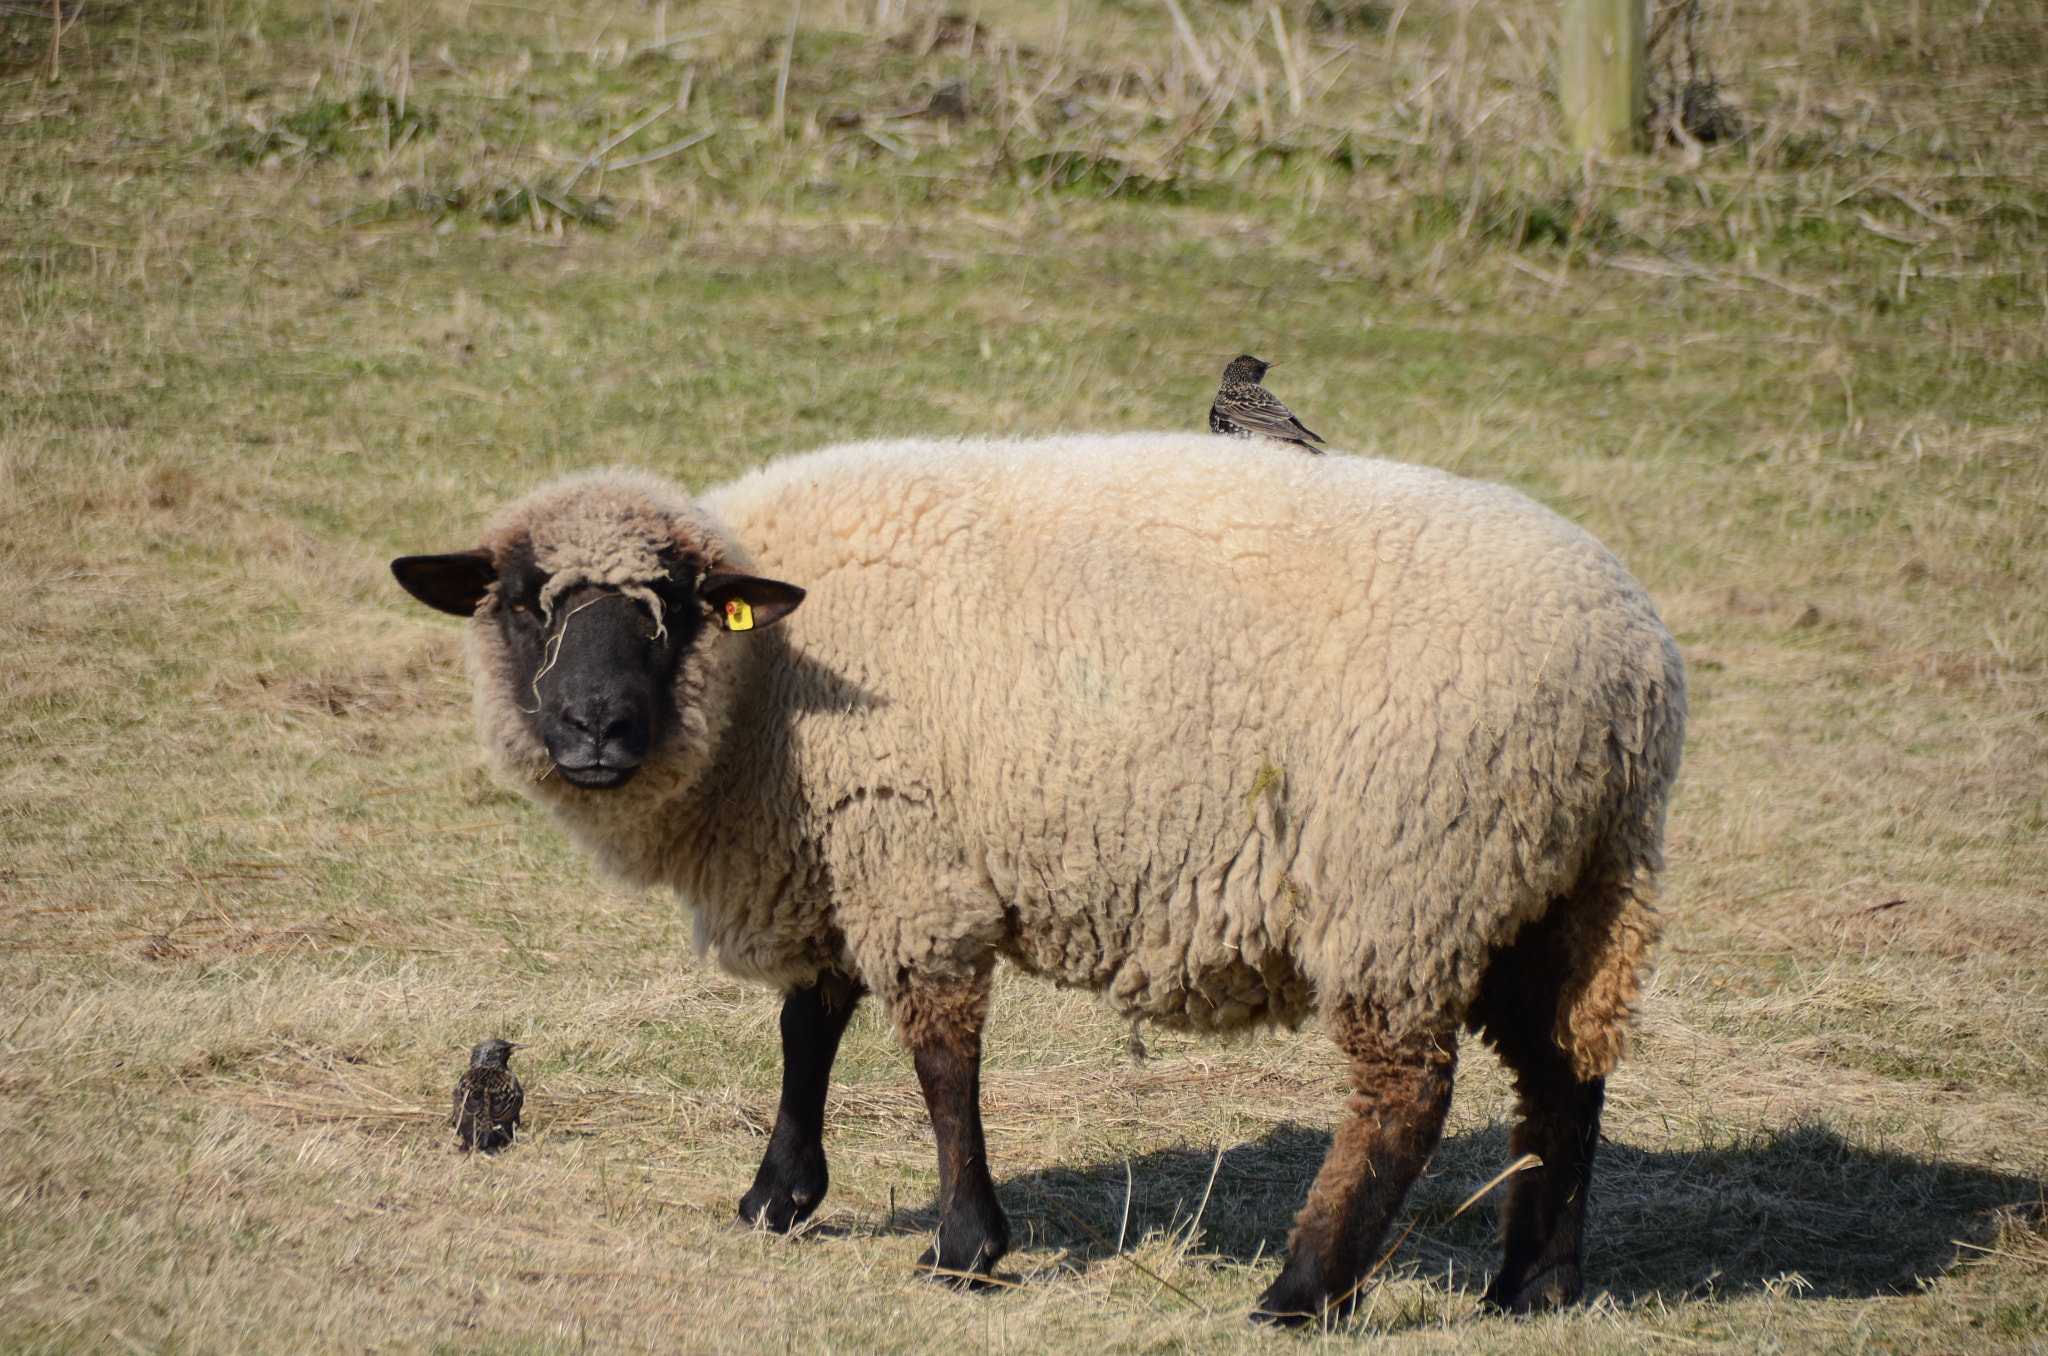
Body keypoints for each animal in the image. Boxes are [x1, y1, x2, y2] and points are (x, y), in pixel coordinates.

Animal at [391, 433, 1686, 1325]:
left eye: (667, 608)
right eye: (523, 606)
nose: (594, 731)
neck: (765, 681)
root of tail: (1631, 664)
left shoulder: (906, 855)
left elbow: (935, 1058)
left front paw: (963, 1248)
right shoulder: (838, 853)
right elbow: (808, 1028)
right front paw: (777, 1199)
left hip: (1407, 879)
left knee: (1407, 1094)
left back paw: (1299, 1291)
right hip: (1563, 882)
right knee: (1565, 1074)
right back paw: (1534, 1286)